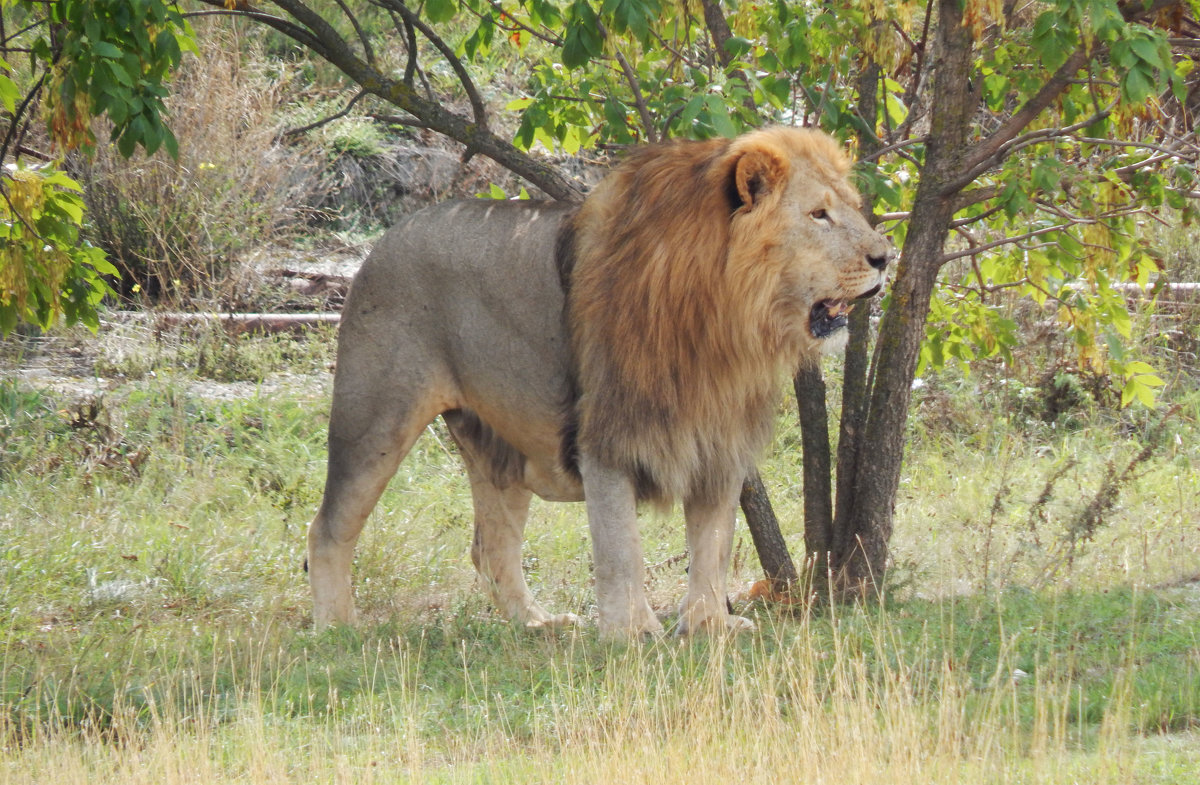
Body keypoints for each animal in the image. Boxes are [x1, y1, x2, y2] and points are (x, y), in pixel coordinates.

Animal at [309, 124, 892, 638]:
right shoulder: (608, 436)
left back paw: (536, 623)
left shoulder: (720, 444)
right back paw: (338, 629)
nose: (886, 257)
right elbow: (620, 547)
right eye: (818, 215)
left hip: (497, 445)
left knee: (491, 546)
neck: (726, 321)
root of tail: (392, 233)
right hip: (376, 418)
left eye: (851, 207)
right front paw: (632, 632)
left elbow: (713, 547)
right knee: (329, 528)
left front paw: (711, 627)